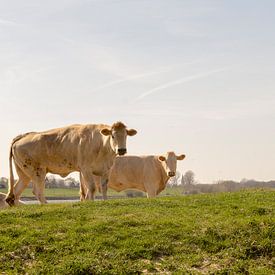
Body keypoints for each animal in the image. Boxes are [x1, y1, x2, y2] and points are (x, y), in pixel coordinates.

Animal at [5, 122, 137, 206]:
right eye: (113, 136)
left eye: (126, 135)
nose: (121, 150)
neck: (102, 146)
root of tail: (23, 136)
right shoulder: (85, 169)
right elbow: (92, 188)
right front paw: (91, 203)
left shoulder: (106, 169)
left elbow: (103, 187)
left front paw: (104, 201)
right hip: (38, 171)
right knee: (37, 191)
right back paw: (47, 205)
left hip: (24, 173)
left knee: (16, 192)